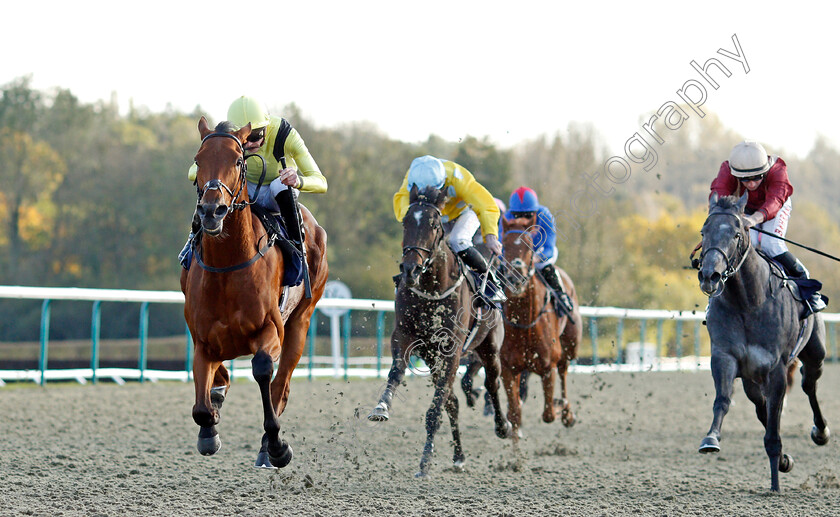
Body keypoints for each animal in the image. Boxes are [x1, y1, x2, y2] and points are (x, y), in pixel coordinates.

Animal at [180, 116, 328, 468]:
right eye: (198, 160)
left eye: (238, 160)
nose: (211, 211)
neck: (228, 268)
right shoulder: (202, 337)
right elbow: (202, 402)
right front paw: (210, 426)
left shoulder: (270, 329)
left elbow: (262, 369)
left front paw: (276, 445)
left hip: (301, 321)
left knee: (280, 385)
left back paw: (266, 449)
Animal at [370, 184, 512, 476]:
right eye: (405, 222)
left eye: (434, 225)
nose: (410, 269)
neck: (431, 290)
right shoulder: (404, 337)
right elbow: (396, 371)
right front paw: (382, 405)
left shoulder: (452, 351)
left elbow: (435, 410)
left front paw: (424, 462)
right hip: (432, 358)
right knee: (452, 402)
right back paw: (459, 457)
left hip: (490, 347)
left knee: (492, 383)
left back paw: (503, 426)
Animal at [496, 214, 580, 440]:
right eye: (504, 244)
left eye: (530, 244)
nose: (515, 278)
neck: (524, 322)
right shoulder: (508, 368)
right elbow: (515, 413)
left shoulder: (548, 367)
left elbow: (549, 413)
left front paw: (560, 407)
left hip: (570, 345)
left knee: (564, 373)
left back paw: (567, 413)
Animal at [696, 191, 828, 490]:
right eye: (703, 232)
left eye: (736, 233)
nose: (709, 275)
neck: (748, 302)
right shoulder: (725, 357)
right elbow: (724, 399)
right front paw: (711, 438)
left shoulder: (776, 368)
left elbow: (774, 425)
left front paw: (775, 485)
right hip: (751, 379)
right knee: (762, 407)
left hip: (815, 354)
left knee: (809, 385)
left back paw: (821, 432)